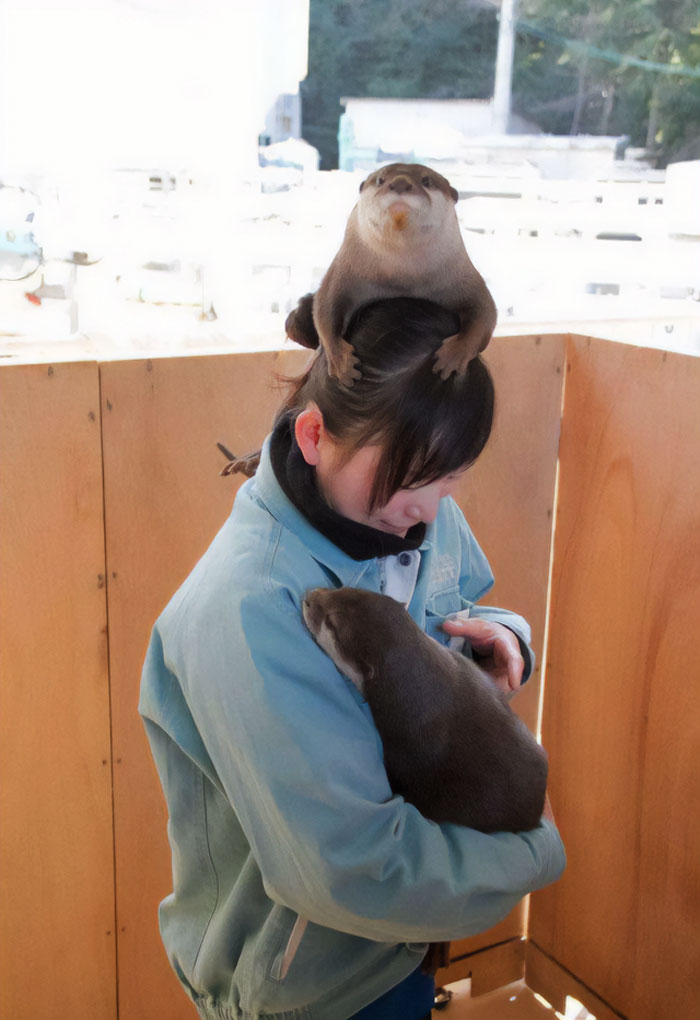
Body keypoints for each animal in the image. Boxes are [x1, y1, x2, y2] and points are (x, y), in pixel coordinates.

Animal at [285, 163, 497, 386]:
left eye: (427, 181)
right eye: (381, 180)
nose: (401, 183)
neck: (401, 277)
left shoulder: (463, 277)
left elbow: (484, 311)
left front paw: (455, 354)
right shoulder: (342, 274)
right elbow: (326, 308)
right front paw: (341, 362)